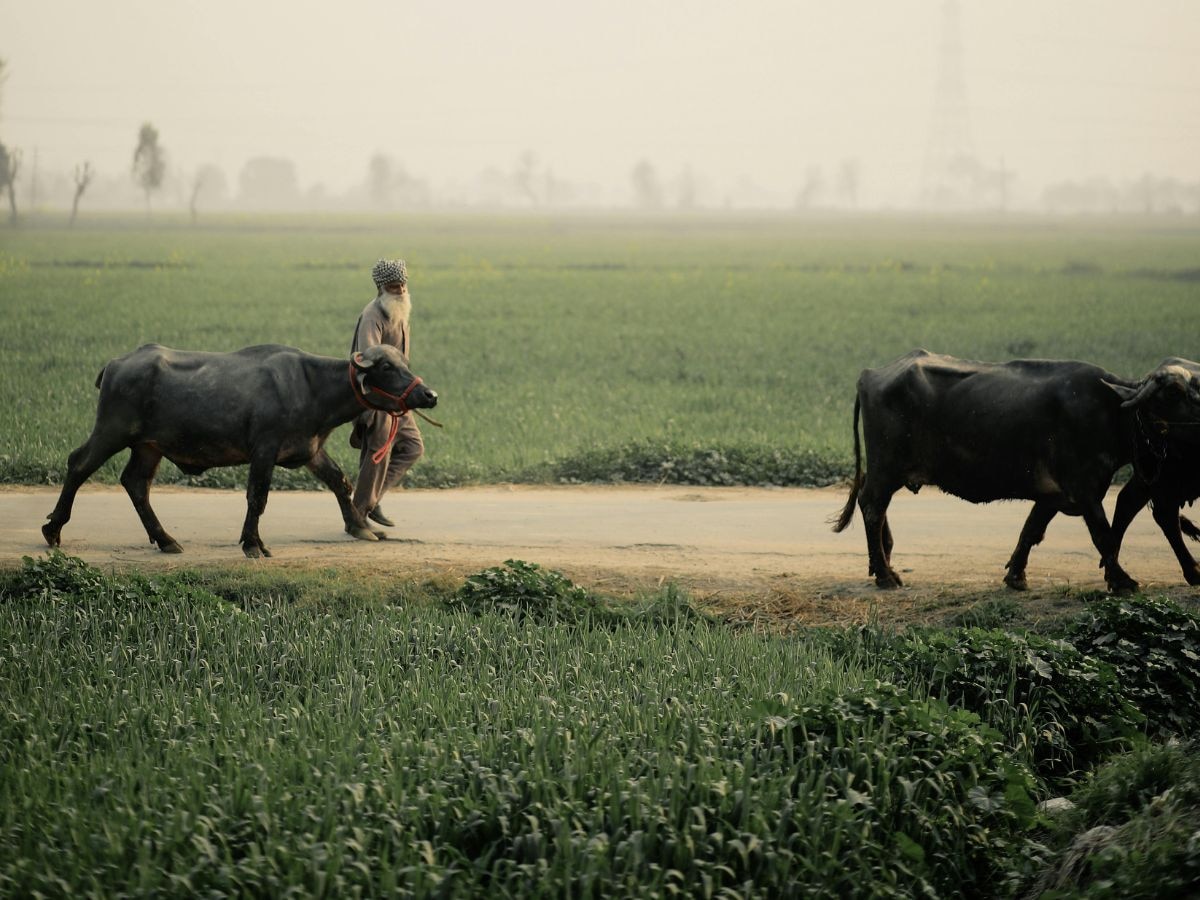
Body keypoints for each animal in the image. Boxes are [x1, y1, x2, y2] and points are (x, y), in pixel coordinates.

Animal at [42, 343, 439, 556]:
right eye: (386, 366)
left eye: (405, 364)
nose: (429, 394)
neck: (312, 387)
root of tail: (116, 364)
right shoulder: (264, 448)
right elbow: (257, 497)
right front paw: (253, 543)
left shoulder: (309, 450)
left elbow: (340, 481)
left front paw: (360, 526)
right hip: (112, 430)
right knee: (79, 463)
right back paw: (53, 530)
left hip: (148, 446)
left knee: (136, 483)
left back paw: (166, 539)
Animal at [830, 350, 1200, 592]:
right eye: (1174, 392)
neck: (1111, 412)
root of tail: (871, 374)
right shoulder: (1084, 489)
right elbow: (1103, 534)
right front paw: (1123, 580)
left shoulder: (1053, 494)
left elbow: (1032, 530)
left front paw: (1016, 576)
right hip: (886, 466)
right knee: (872, 506)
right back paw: (885, 575)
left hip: (886, 470)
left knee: (873, 505)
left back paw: (882, 564)